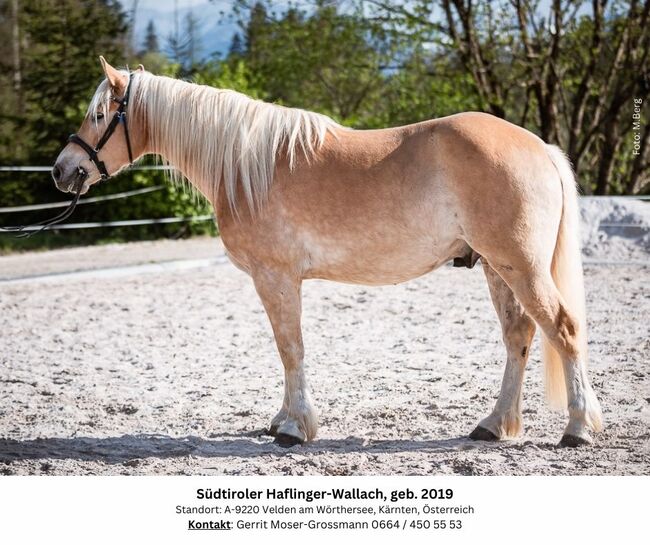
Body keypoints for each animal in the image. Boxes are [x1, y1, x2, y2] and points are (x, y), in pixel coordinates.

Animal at [52, 57, 604, 446]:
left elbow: (290, 348)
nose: (62, 170)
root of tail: (540, 148)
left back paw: (577, 429)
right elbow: (286, 350)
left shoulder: (275, 277)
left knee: (564, 329)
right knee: (519, 337)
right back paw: (494, 424)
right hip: (496, 267)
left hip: (519, 266)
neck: (248, 165)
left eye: (99, 113)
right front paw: (282, 420)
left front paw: (294, 429)